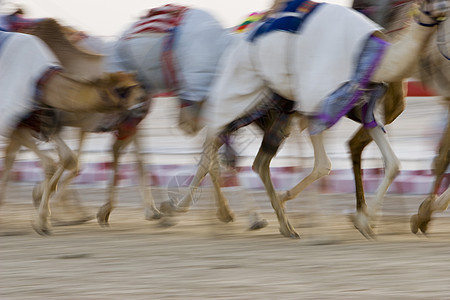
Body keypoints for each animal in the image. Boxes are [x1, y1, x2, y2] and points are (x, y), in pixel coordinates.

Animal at [0, 28, 146, 234]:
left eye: (137, 83)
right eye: (121, 88)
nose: (143, 103)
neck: (43, 82)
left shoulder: (38, 123)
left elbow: (68, 159)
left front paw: (44, 216)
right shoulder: (15, 123)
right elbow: (51, 162)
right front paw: (43, 220)